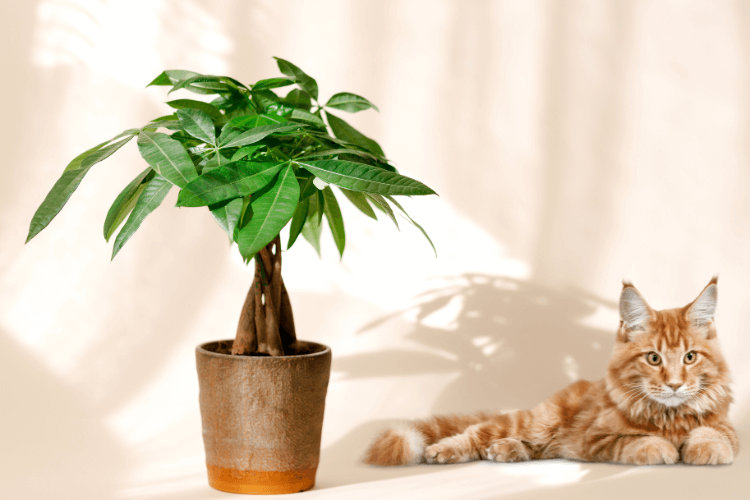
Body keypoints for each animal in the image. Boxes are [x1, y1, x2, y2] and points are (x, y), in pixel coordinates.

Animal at [364, 280, 740, 466]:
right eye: (653, 358)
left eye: (690, 357)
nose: (675, 384)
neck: (669, 417)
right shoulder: (595, 438)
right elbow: (635, 441)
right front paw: (661, 449)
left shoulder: (727, 428)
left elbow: (713, 434)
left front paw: (705, 449)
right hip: (536, 422)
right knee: (475, 432)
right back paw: (443, 450)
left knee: (533, 448)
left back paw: (505, 451)